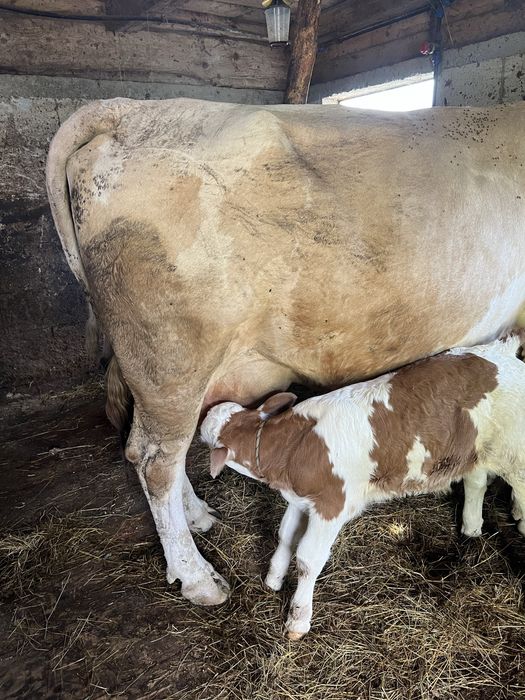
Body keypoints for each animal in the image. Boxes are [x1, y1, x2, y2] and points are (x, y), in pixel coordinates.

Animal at [201, 333, 525, 638]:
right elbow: (285, 536)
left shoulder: (330, 505)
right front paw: (273, 579)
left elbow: (308, 558)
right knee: (476, 481)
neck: (292, 445)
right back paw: (471, 528)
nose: (202, 417)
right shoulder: (300, 500)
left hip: (515, 456)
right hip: (476, 450)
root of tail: (501, 352)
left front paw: (298, 619)